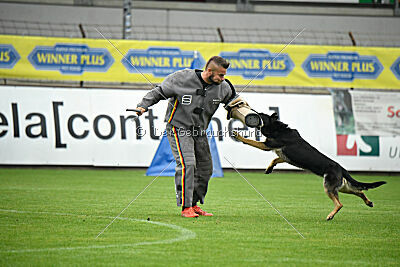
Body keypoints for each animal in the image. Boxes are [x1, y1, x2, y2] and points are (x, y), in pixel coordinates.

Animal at [233, 113, 386, 222]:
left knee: (340, 204)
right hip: (342, 187)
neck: (278, 129)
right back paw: (368, 202)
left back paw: (330, 216)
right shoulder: (283, 156)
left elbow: (251, 141)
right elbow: (275, 159)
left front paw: (239, 136)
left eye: (259, 114)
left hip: (329, 187)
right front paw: (270, 168)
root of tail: (341, 168)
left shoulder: (268, 145)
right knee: (359, 191)